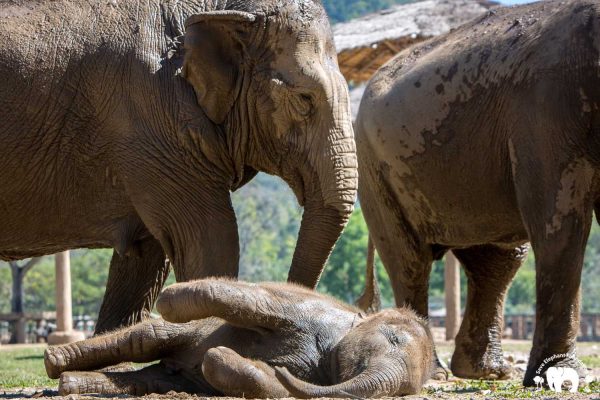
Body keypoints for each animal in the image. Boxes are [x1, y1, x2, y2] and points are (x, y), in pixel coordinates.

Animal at [43, 280, 436, 398]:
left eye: (405, 391)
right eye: (393, 338)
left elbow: (271, 385)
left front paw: (222, 357)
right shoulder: (303, 308)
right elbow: (252, 299)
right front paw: (169, 298)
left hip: (169, 377)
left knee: (148, 377)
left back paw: (69, 383)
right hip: (184, 333)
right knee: (146, 337)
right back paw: (53, 362)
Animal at [356, 0, 600, 388]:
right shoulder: (547, 108)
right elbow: (559, 220)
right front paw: (561, 377)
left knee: (498, 260)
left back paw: (486, 372)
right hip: (375, 169)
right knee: (410, 260)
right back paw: (433, 372)